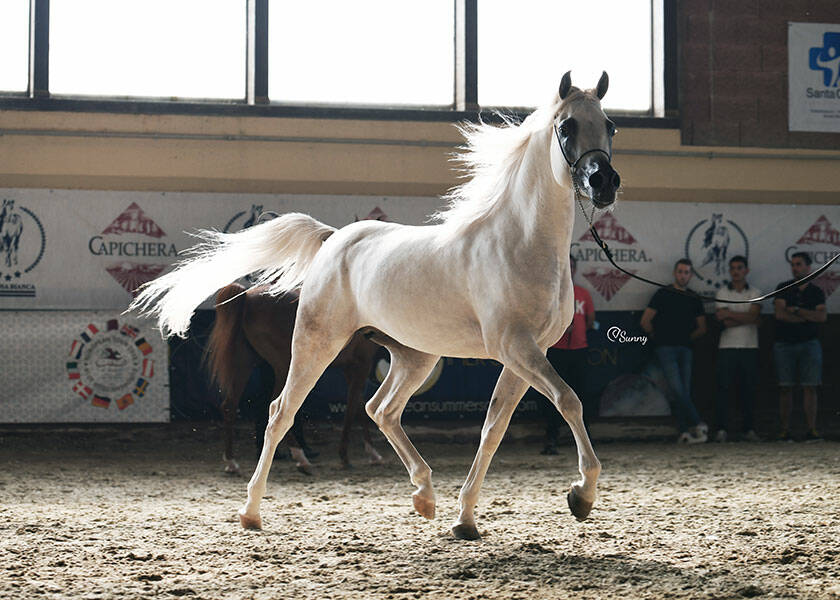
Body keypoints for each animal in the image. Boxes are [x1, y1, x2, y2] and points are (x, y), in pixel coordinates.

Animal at [205, 284, 382, 476]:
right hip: (284, 367)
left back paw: (231, 462)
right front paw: (348, 455)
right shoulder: (361, 365)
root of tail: (248, 296)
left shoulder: (350, 368)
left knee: (230, 406)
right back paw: (300, 457)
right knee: (278, 410)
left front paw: (371, 453)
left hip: (244, 363)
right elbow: (353, 408)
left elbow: (359, 404)